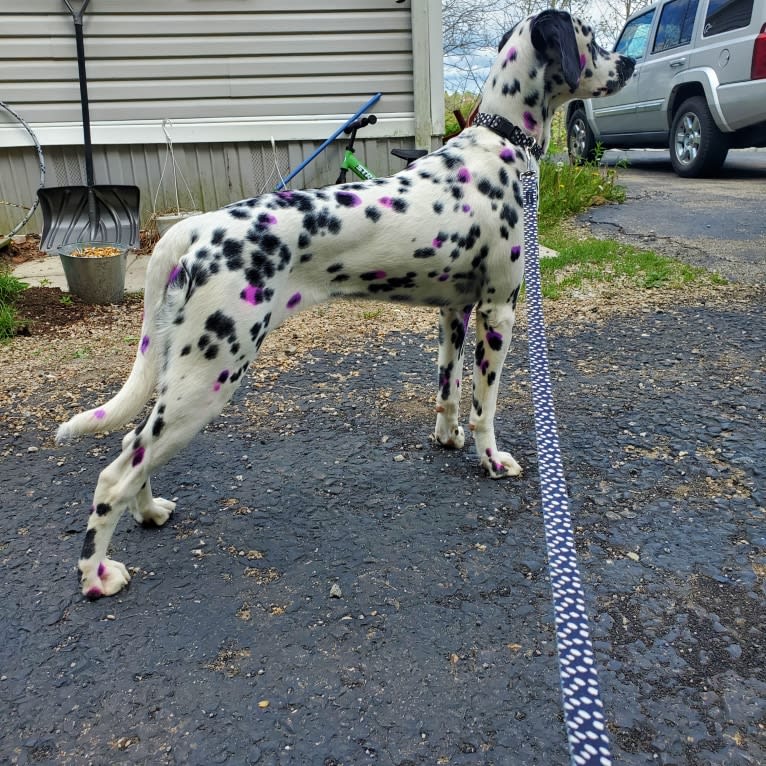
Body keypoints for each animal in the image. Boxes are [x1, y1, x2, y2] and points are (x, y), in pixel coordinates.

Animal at [58, 9, 636, 604]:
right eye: (592, 38)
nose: (632, 60)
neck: (499, 147)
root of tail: (199, 228)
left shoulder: (453, 314)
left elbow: (448, 393)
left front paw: (447, 439)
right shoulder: (498, 312)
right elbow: (485, 408)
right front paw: (491, 461)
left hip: (183, 374)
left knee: (133, 447)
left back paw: (149, 510)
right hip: (207, 378)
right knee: (115, 474)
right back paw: (97, 574)